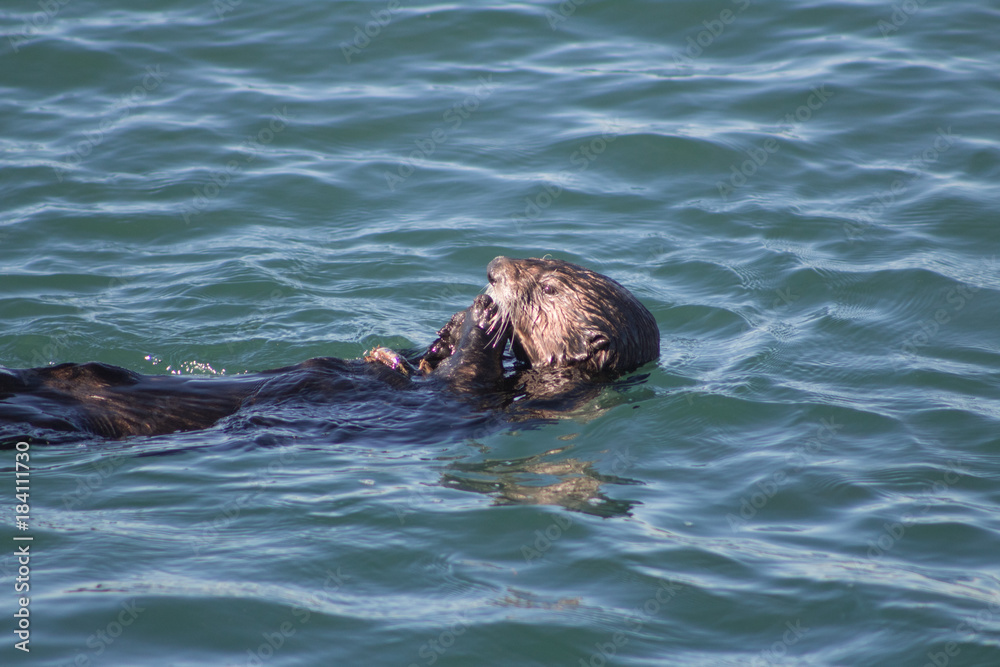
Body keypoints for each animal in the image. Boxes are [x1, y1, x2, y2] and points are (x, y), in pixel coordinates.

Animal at [0, 257, 658, 441]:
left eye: (547, 287)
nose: (494, 270)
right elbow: (419, 365)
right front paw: (433, 337)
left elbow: (464, 383)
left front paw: (481, 321)